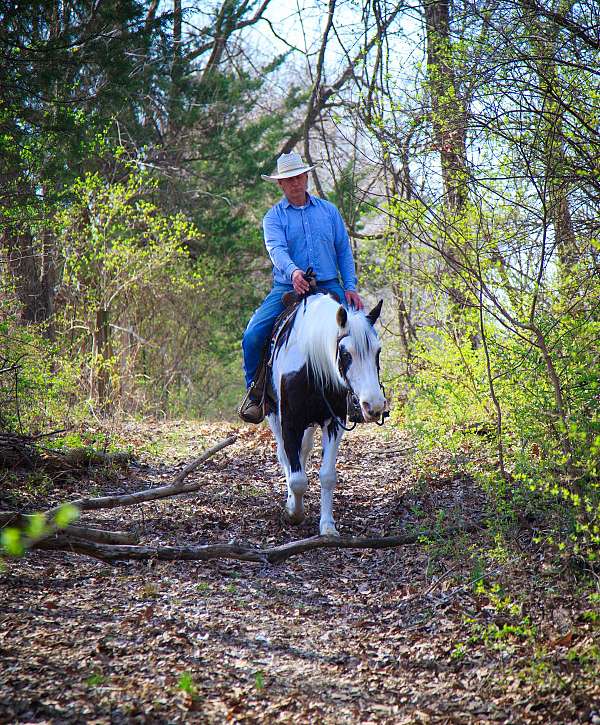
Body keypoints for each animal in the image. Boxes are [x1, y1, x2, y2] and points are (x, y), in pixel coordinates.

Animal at [266, 292, 386, 536]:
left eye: (377, 351)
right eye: (346, 353)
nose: (374, 405)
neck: (311, 366)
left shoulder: (334, 422)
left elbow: (328, 476)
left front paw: (328, 526)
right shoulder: (290, 422)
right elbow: (297, 479)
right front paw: (294, 513)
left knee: (303, 450)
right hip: (274, 416)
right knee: (284, 455)